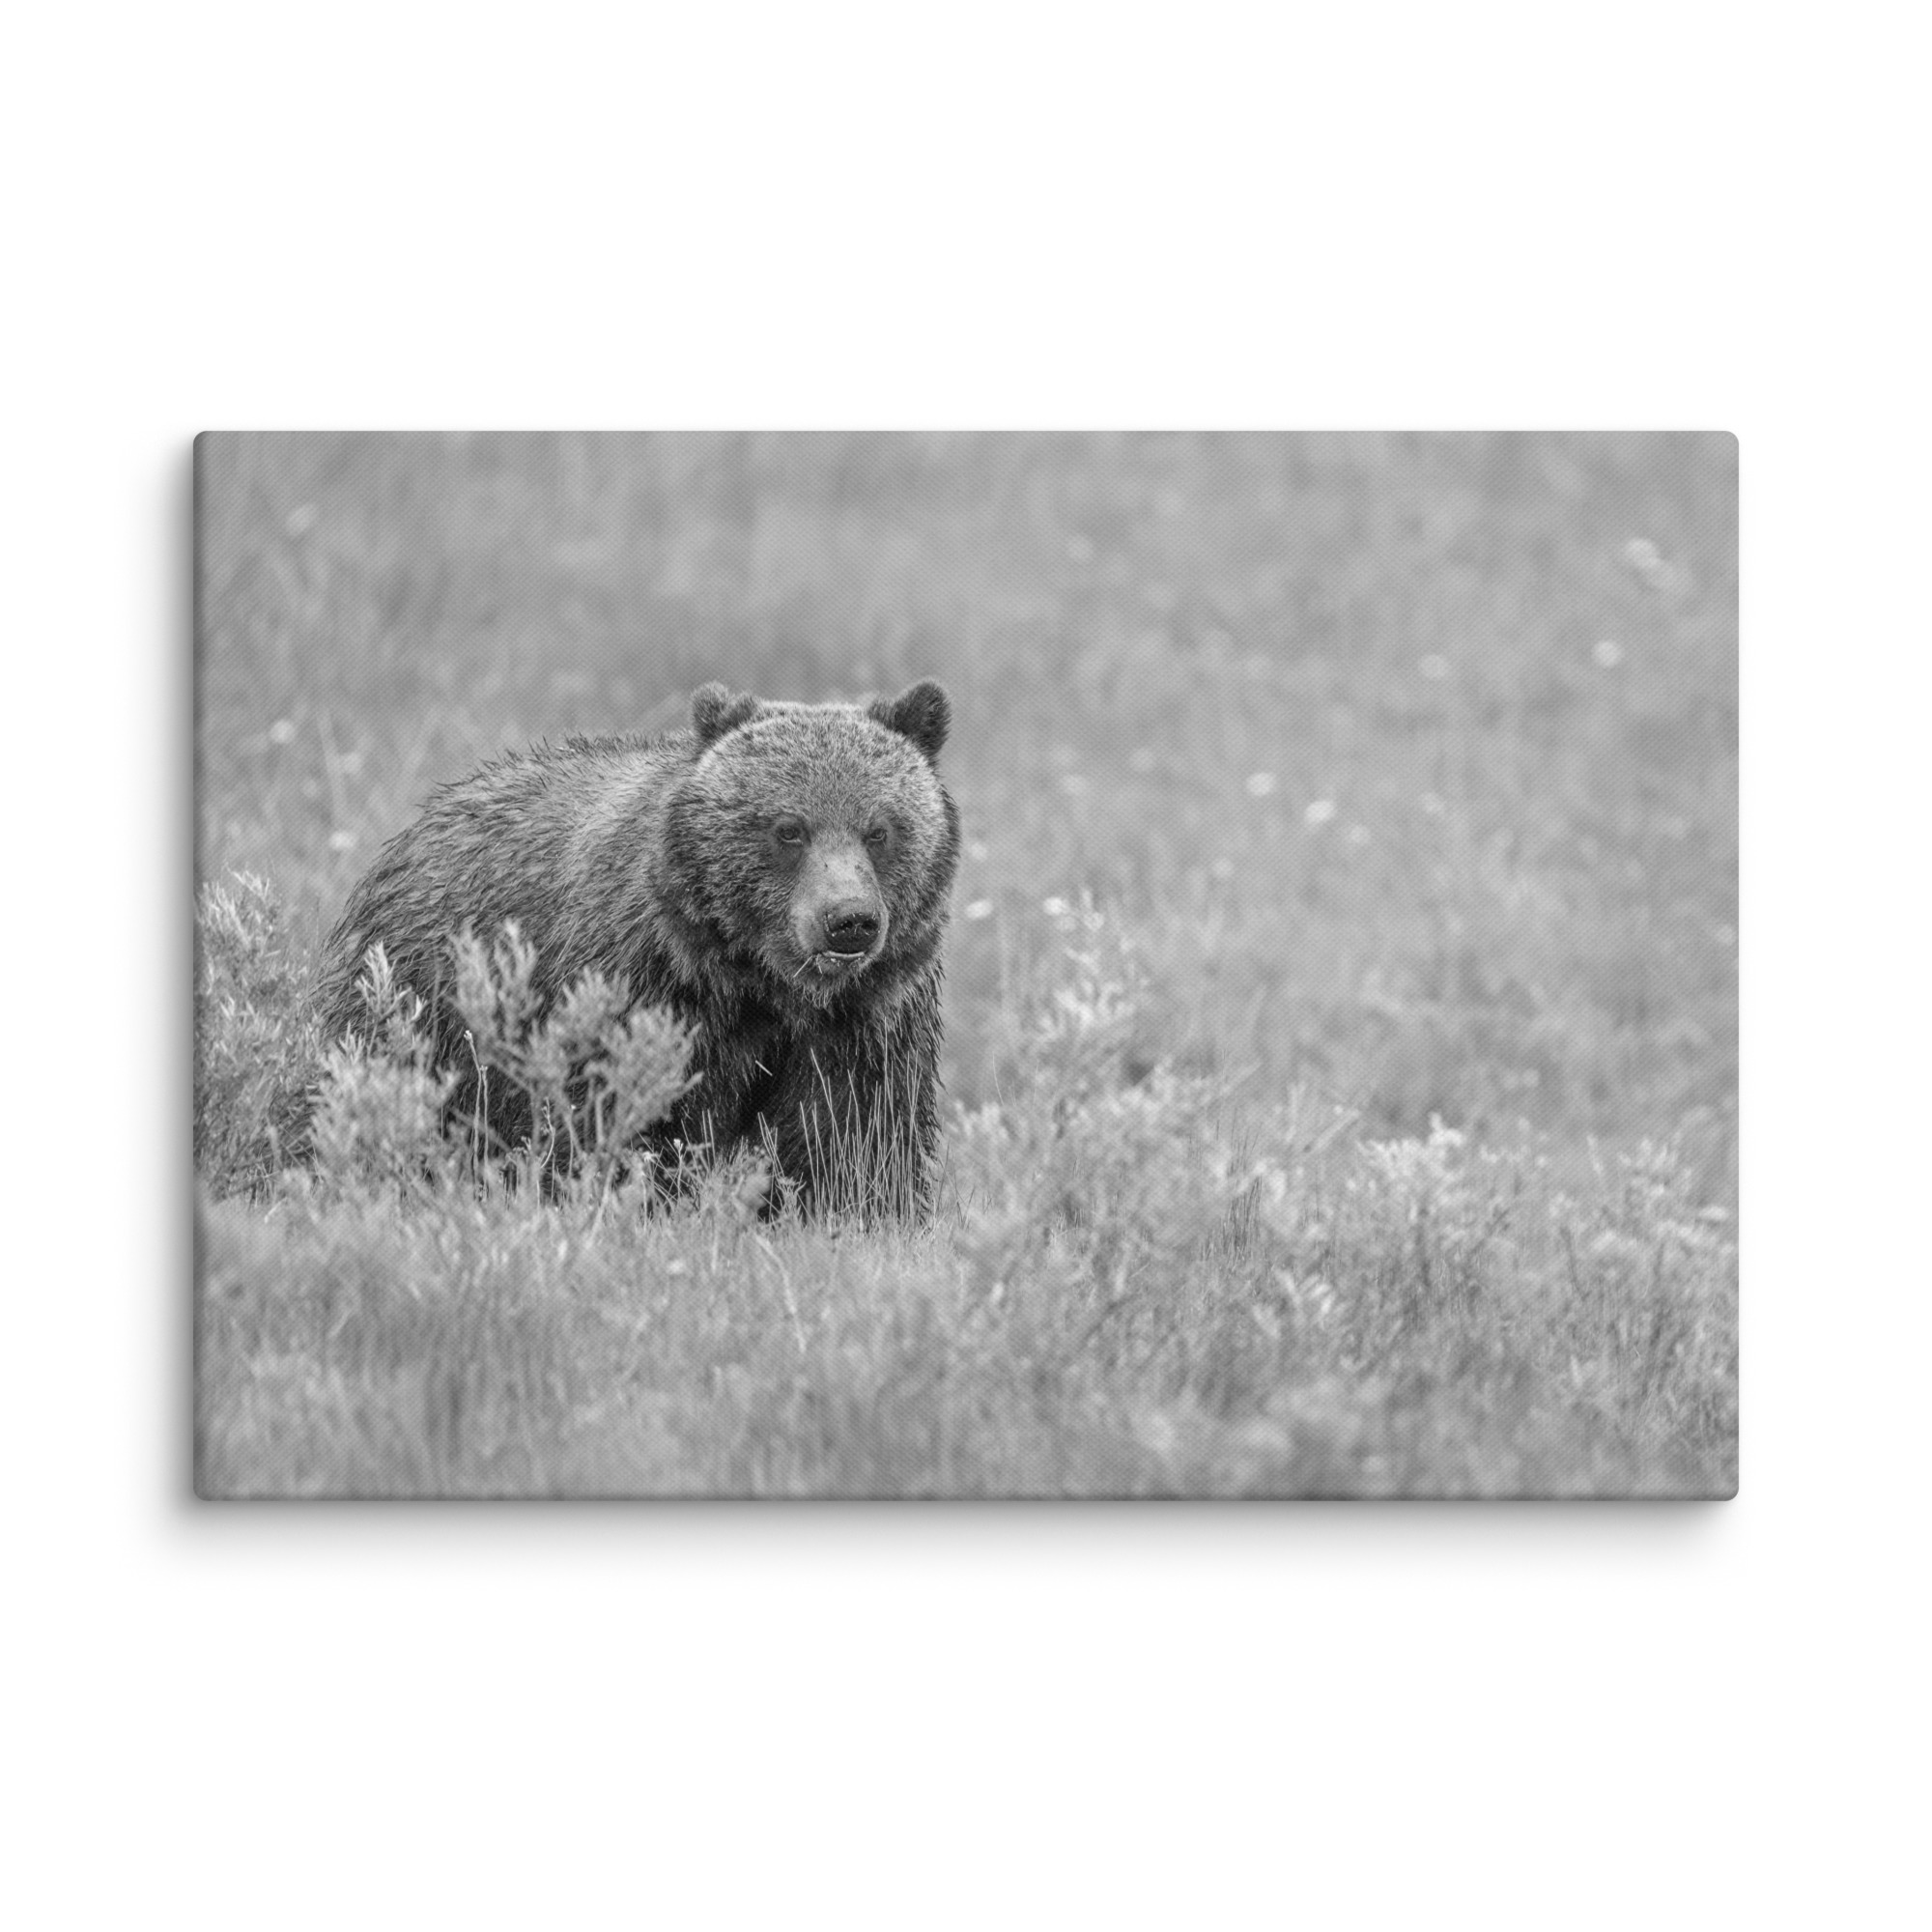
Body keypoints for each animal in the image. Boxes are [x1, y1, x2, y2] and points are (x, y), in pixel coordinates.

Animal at [315, 679, 959, 1217]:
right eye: (788, 828)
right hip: (423, 1001)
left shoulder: (866, 1020)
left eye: (880, 829)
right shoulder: (641, 988)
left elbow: (855, 1139)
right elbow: (620, 1117)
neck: (761, 984)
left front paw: (857, 1215)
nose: (849, 921)